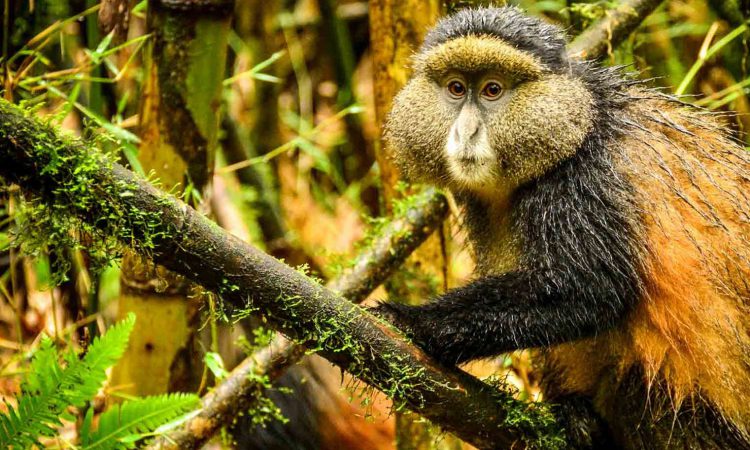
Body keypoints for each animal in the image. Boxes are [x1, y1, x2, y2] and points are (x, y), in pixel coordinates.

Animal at [373, 6, 750, 449]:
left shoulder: (584, 180)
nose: (466, 132)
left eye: (492, 90)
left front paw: (411, 321)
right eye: (455, 88)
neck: (580, 119)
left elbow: (589, 289)